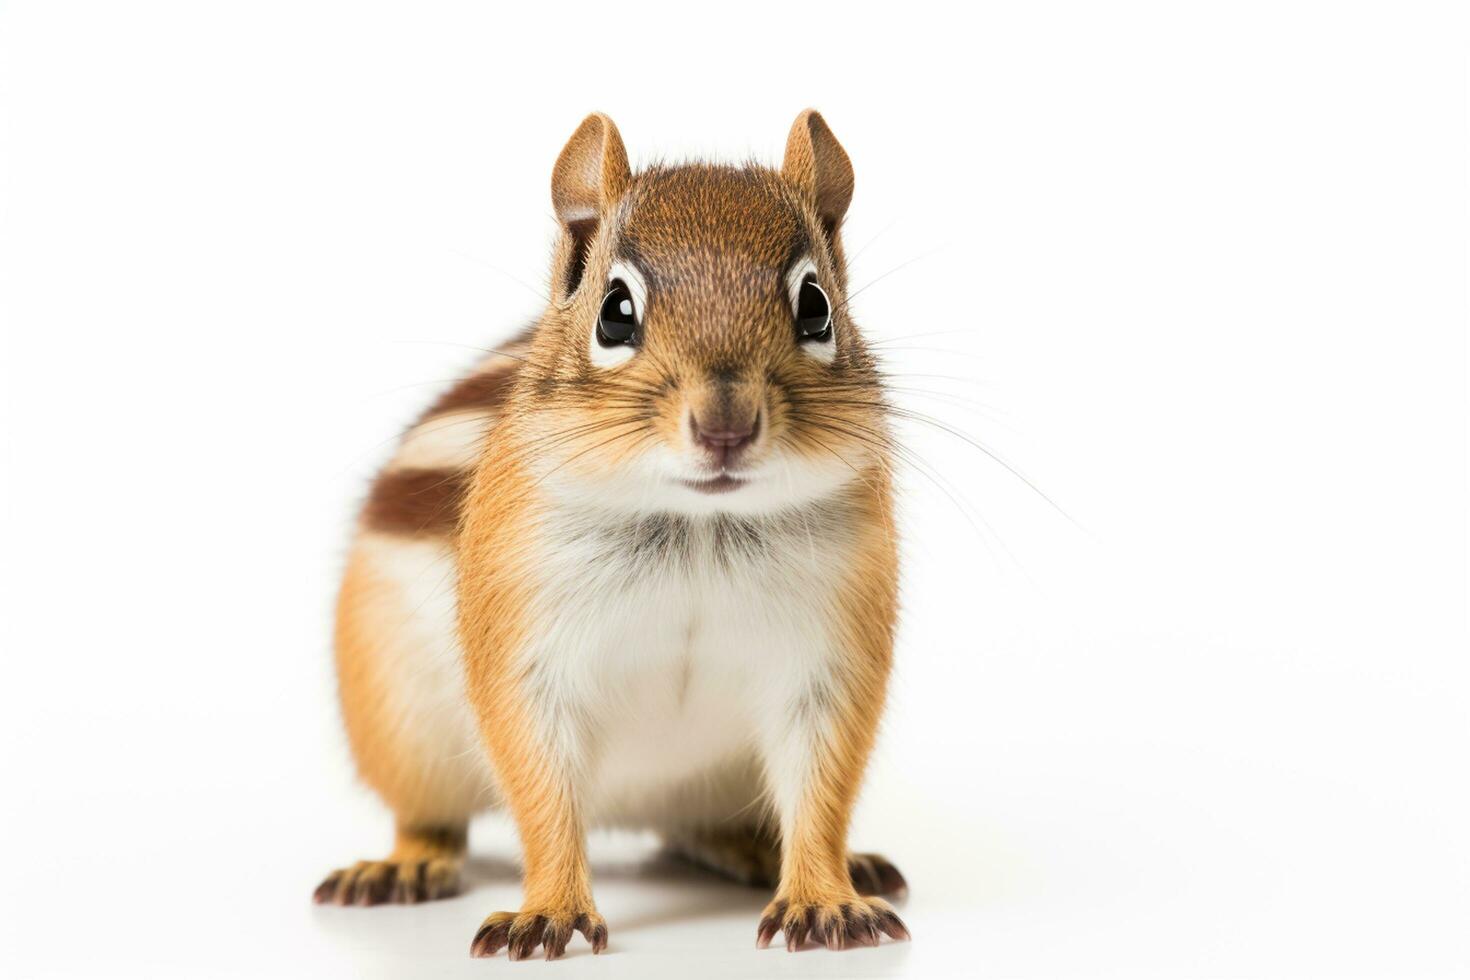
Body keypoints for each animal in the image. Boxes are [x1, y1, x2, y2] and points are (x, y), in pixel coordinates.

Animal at [313, 109, 905, 957]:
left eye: (816, 307)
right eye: (615, 312)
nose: (725, 427)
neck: (699, 525)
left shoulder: (831, 657)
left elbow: (822, 792)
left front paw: (826, 897)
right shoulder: (527, 657)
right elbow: (542, 793)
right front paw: (549, 910)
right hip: (402, 730)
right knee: (430, 819)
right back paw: (401, 866)